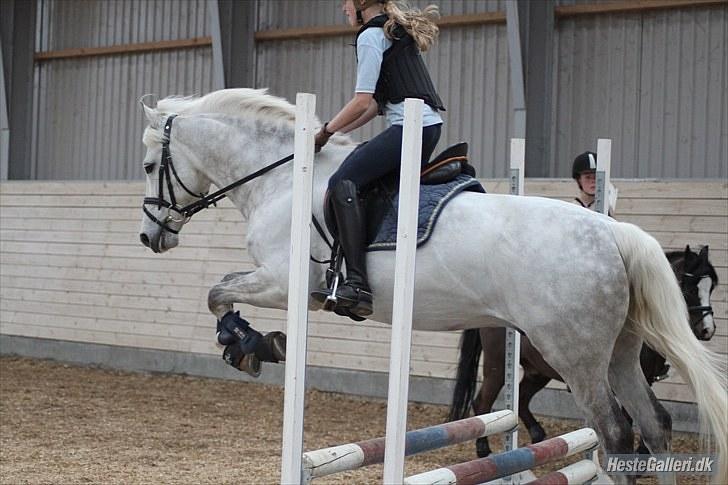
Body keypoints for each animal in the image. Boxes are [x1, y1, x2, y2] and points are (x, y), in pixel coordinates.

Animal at [450, 246, 716, 458]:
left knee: (523, 398)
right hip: (498, 368)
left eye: (711, 288)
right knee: (482, 402)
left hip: (538, 372)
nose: (707, 330)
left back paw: (538, 434)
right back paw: (484, 449)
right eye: (689, 288)